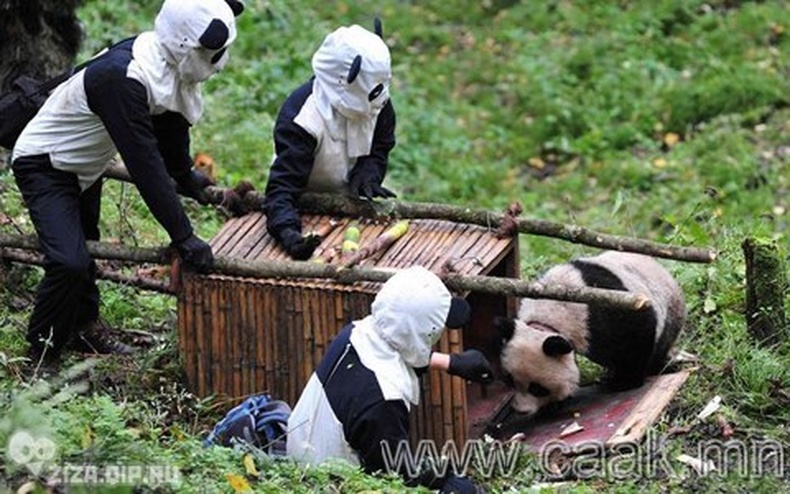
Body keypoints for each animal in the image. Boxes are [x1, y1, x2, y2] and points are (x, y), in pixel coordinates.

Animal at [502, 251, 688, 412]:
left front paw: (624, 382)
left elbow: (635, 333)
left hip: (669, 313)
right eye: (509, 381)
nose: (520, 410)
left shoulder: (601, 309)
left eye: (537, 388)